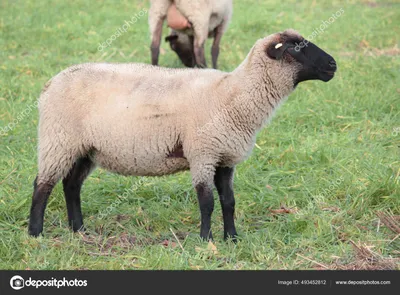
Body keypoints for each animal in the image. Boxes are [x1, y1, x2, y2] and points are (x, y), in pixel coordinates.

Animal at [26, 28, 336, 242]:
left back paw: (79, 229)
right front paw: (206, 240)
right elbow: (207, 202)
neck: (233, 95)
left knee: (71, 185)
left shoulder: (225, 156)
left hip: (85, 147)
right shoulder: (202, 153)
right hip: (58, 139)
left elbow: (229, 201)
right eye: (295, 47)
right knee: (43, 185)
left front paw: (232, 238)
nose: (333, 65)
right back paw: (35, 233)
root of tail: (51, 82)